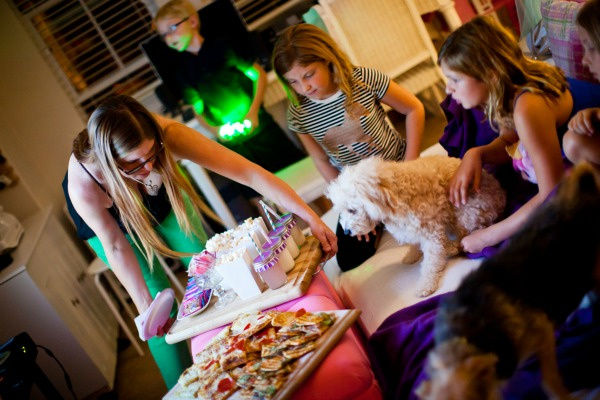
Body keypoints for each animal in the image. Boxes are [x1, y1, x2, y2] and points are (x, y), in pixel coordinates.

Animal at [326, 156, 504, 296]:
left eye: (352, 210)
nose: (346, 231)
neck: (396, 195)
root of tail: (501, 195)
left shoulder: (431, 232)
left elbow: (430, 262)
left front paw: (426, 285)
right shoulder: (411, 229)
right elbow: (415, 243)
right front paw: (412, 254)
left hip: (466, 211)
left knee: (471, 232)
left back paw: (454, 247)